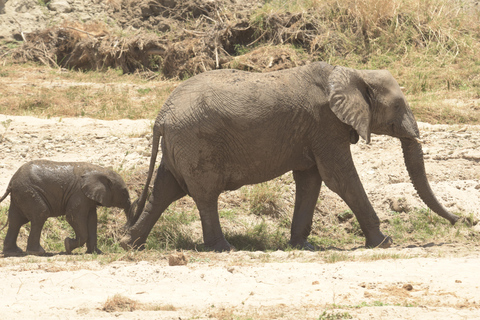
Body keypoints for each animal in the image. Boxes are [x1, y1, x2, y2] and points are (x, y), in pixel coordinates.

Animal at [0, 161, 131, 256]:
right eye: (124, 192)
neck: (101, 170)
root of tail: (11, 181)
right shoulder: (79, 194)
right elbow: (73, 217)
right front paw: (67, 245)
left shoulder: (88, 198)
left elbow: (92, 220)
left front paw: (96, 253)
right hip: (28, 192)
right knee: (40, 215)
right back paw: (38, 253)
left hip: (20, 195)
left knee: (16, 221)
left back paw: (14, 252)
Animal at [120, 62, 458, 252]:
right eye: (398, 106)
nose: (461, 221)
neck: (354, 73)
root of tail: (161, 116)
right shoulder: (326, 124)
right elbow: (340, 178)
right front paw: (384, 242)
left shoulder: (314, 133)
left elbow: (311, 180)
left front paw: (303, 246)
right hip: (196, 141)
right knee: (204, 194)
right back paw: (224, 249)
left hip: (181, 144)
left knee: (165, 190)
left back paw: (130, 245)